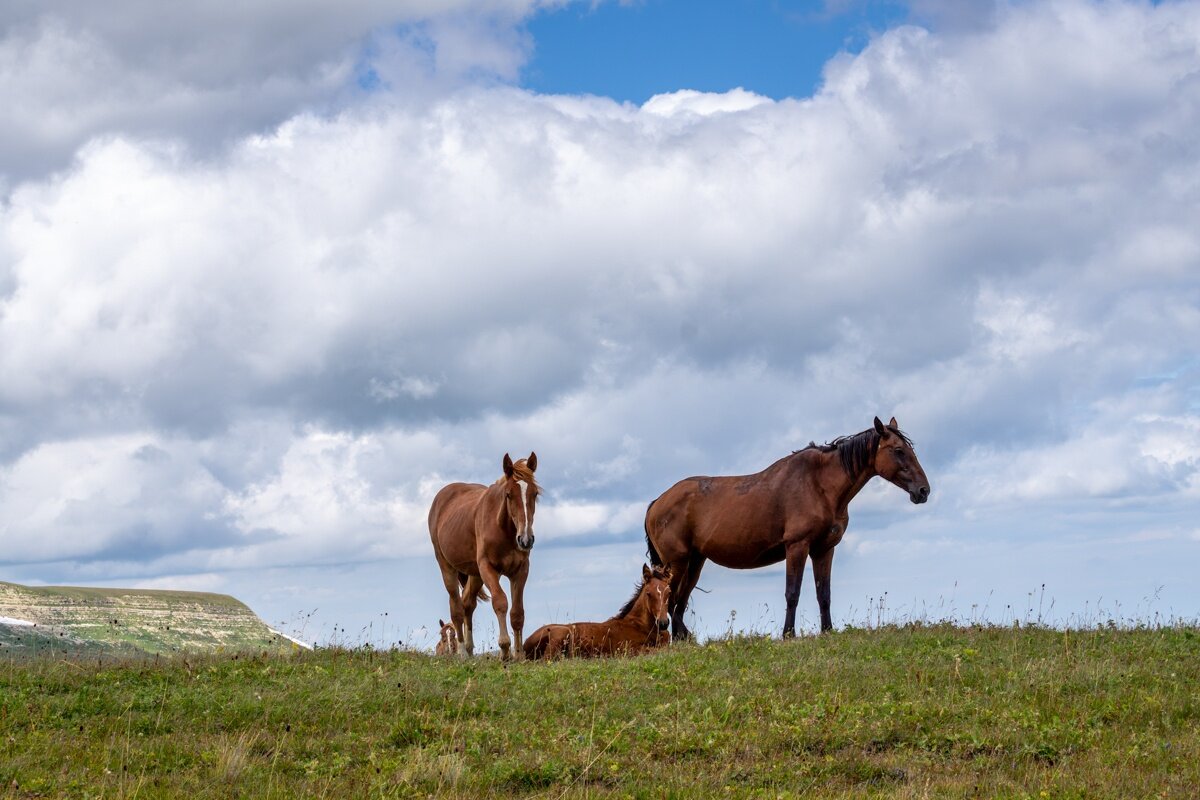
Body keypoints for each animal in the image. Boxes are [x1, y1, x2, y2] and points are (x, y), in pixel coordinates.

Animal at [427, 453, 540, 662]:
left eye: (535, 493)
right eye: (508, 494)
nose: (526, 539)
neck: (502, 528)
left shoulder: (520, 570)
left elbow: (517, 612)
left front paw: (519, 655)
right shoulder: (488, 568)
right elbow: (500, 602)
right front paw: (505, 649)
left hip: (475, 574)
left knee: (467, 605)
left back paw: (470, 649)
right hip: (448, 567)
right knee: (456, 608)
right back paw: (462, 652)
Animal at [525, 561, 676, 662]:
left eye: (669, 592)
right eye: (649, 594)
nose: (663, 623)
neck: (641, 626)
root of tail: (526, 642)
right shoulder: (629, 649)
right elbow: (658, 650)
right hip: (562, 633)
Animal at [643, 419, 931, 638]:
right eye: (898, 450)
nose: (923, 490)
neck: (819, 485)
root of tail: (657, 502)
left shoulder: (824, 550)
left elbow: (823, 593)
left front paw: (827, 631)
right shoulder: (797, 546)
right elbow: (793, 593)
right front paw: (789, 634)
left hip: (695, 562)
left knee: (679, 602)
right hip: (677, 562)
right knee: (671, 599)